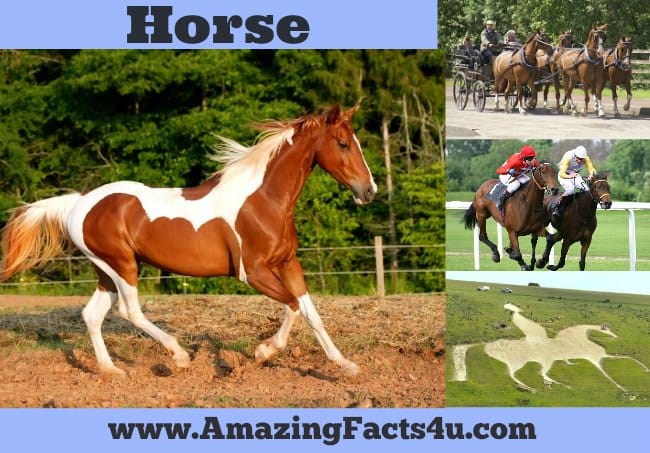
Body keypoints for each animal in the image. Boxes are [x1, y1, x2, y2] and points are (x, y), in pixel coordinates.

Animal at [0, 104, 377, 378]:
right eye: (343, 144)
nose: (369, 191)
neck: (263, 200)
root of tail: (78, 203)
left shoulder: (288, 264)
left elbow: (311, 312)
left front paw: (345, 365)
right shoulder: (252, 272)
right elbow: (293, 306)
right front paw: (262, 352)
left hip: (106, 269)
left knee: (92, 314)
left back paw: (112, 371)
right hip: (122, 265)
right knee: (129, 310)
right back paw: (179, 356)